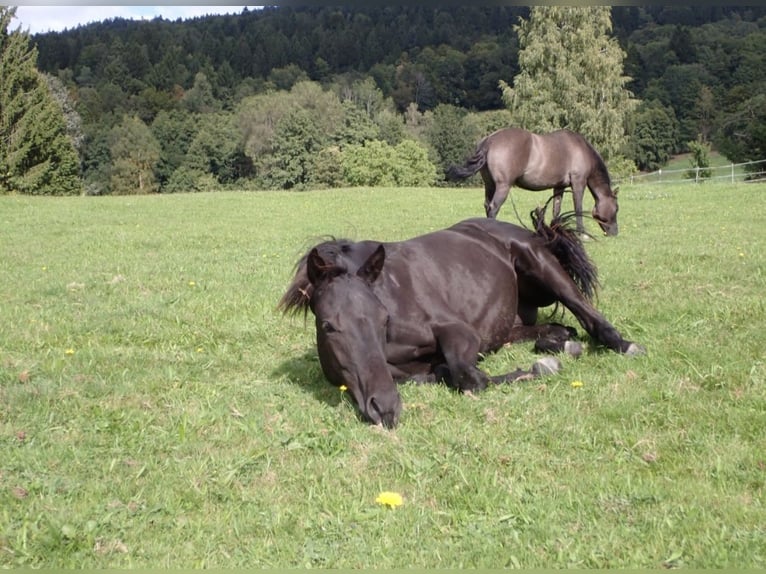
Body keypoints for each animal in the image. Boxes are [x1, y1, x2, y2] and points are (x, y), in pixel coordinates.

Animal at [280, 210, 644, 428]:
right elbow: (434, 374)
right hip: (509, 325)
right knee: (553, 329)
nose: (385, 408)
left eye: (383, 319)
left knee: (587, 314)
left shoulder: (460, 332)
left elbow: (468, 375)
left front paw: (540, 370)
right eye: (328, 325)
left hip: (542, 266)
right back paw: (560, 343)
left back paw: (622, 345)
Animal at [448, 129, 620, 237]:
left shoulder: (559, 186)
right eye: (617, 208)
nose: (614, 233)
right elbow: (578, 208)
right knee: (493, 207)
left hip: (490, 185)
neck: (581, 149)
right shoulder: (578, 183)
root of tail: (489, 141)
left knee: (486, 205)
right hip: (503, 186)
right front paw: (581, 233)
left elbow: (556, 209)